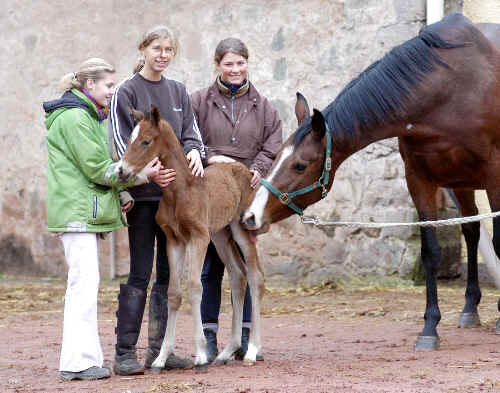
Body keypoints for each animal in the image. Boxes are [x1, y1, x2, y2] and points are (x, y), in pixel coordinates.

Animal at [116, 106, 264, 364]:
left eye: (145, 141)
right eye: (129, 138)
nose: (121, 170)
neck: (180, 191)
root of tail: (247, 170)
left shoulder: (198, 238)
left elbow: (195, 287)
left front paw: (201, 354)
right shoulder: (174, 241)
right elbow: (173, 293)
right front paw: (161, 358)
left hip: (241, 229)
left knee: (255, 277)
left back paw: (252, 350)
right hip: (220, 235)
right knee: (238, 276)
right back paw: (227, 351)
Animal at [241, 13, 500, 350]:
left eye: (299, 165)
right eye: (274, 158)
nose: (250, 216)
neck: (450, 90)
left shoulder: (494, 174)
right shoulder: (419, 179)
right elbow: (431, 252)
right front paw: (430, 327)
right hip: (461, 183)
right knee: (471, 231)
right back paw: (470, 308)